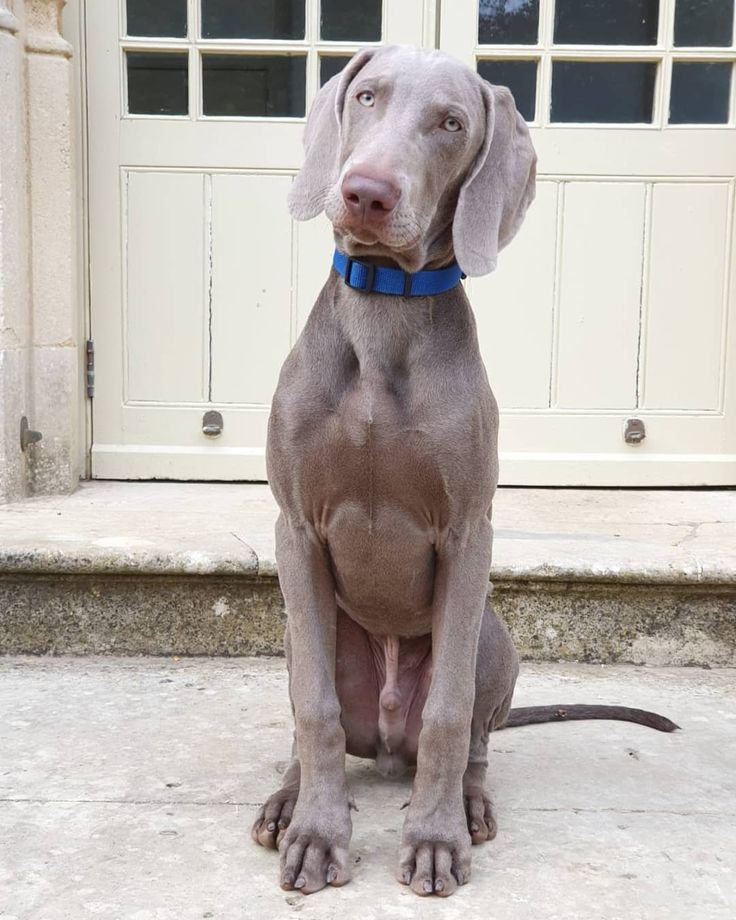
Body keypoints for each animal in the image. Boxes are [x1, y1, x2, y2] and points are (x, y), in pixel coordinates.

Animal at [253, 45, 680, 900]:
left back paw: (470, 803)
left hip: (493, 633)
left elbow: (449, 714)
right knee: (311, 713)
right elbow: (314, 708)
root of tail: (387, 743)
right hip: (299, 630)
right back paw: (287, 799)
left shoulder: (466, 533)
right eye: (366, 95)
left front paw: (435, 839)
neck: (386, 309)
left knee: (474, 735)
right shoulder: (297, 529)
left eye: (451, 123)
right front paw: (317, 833)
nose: (367, 192)